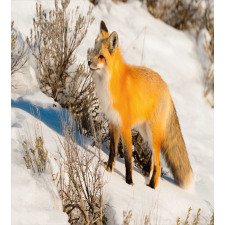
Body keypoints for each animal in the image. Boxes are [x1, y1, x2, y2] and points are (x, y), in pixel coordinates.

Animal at [88, 21, 192, 190]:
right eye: (94, 52)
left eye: (101, 56)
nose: (89, 62)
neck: (111, 83)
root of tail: (167, 89)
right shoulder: (113, 122)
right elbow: (113, 150)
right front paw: (109, 169)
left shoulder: (125, 126)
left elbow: (128, 158)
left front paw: (129, 182)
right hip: (145, 133)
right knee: (153, 161)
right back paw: (146, 176)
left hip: (153, 134)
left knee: (159, 165)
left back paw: (151, 187)